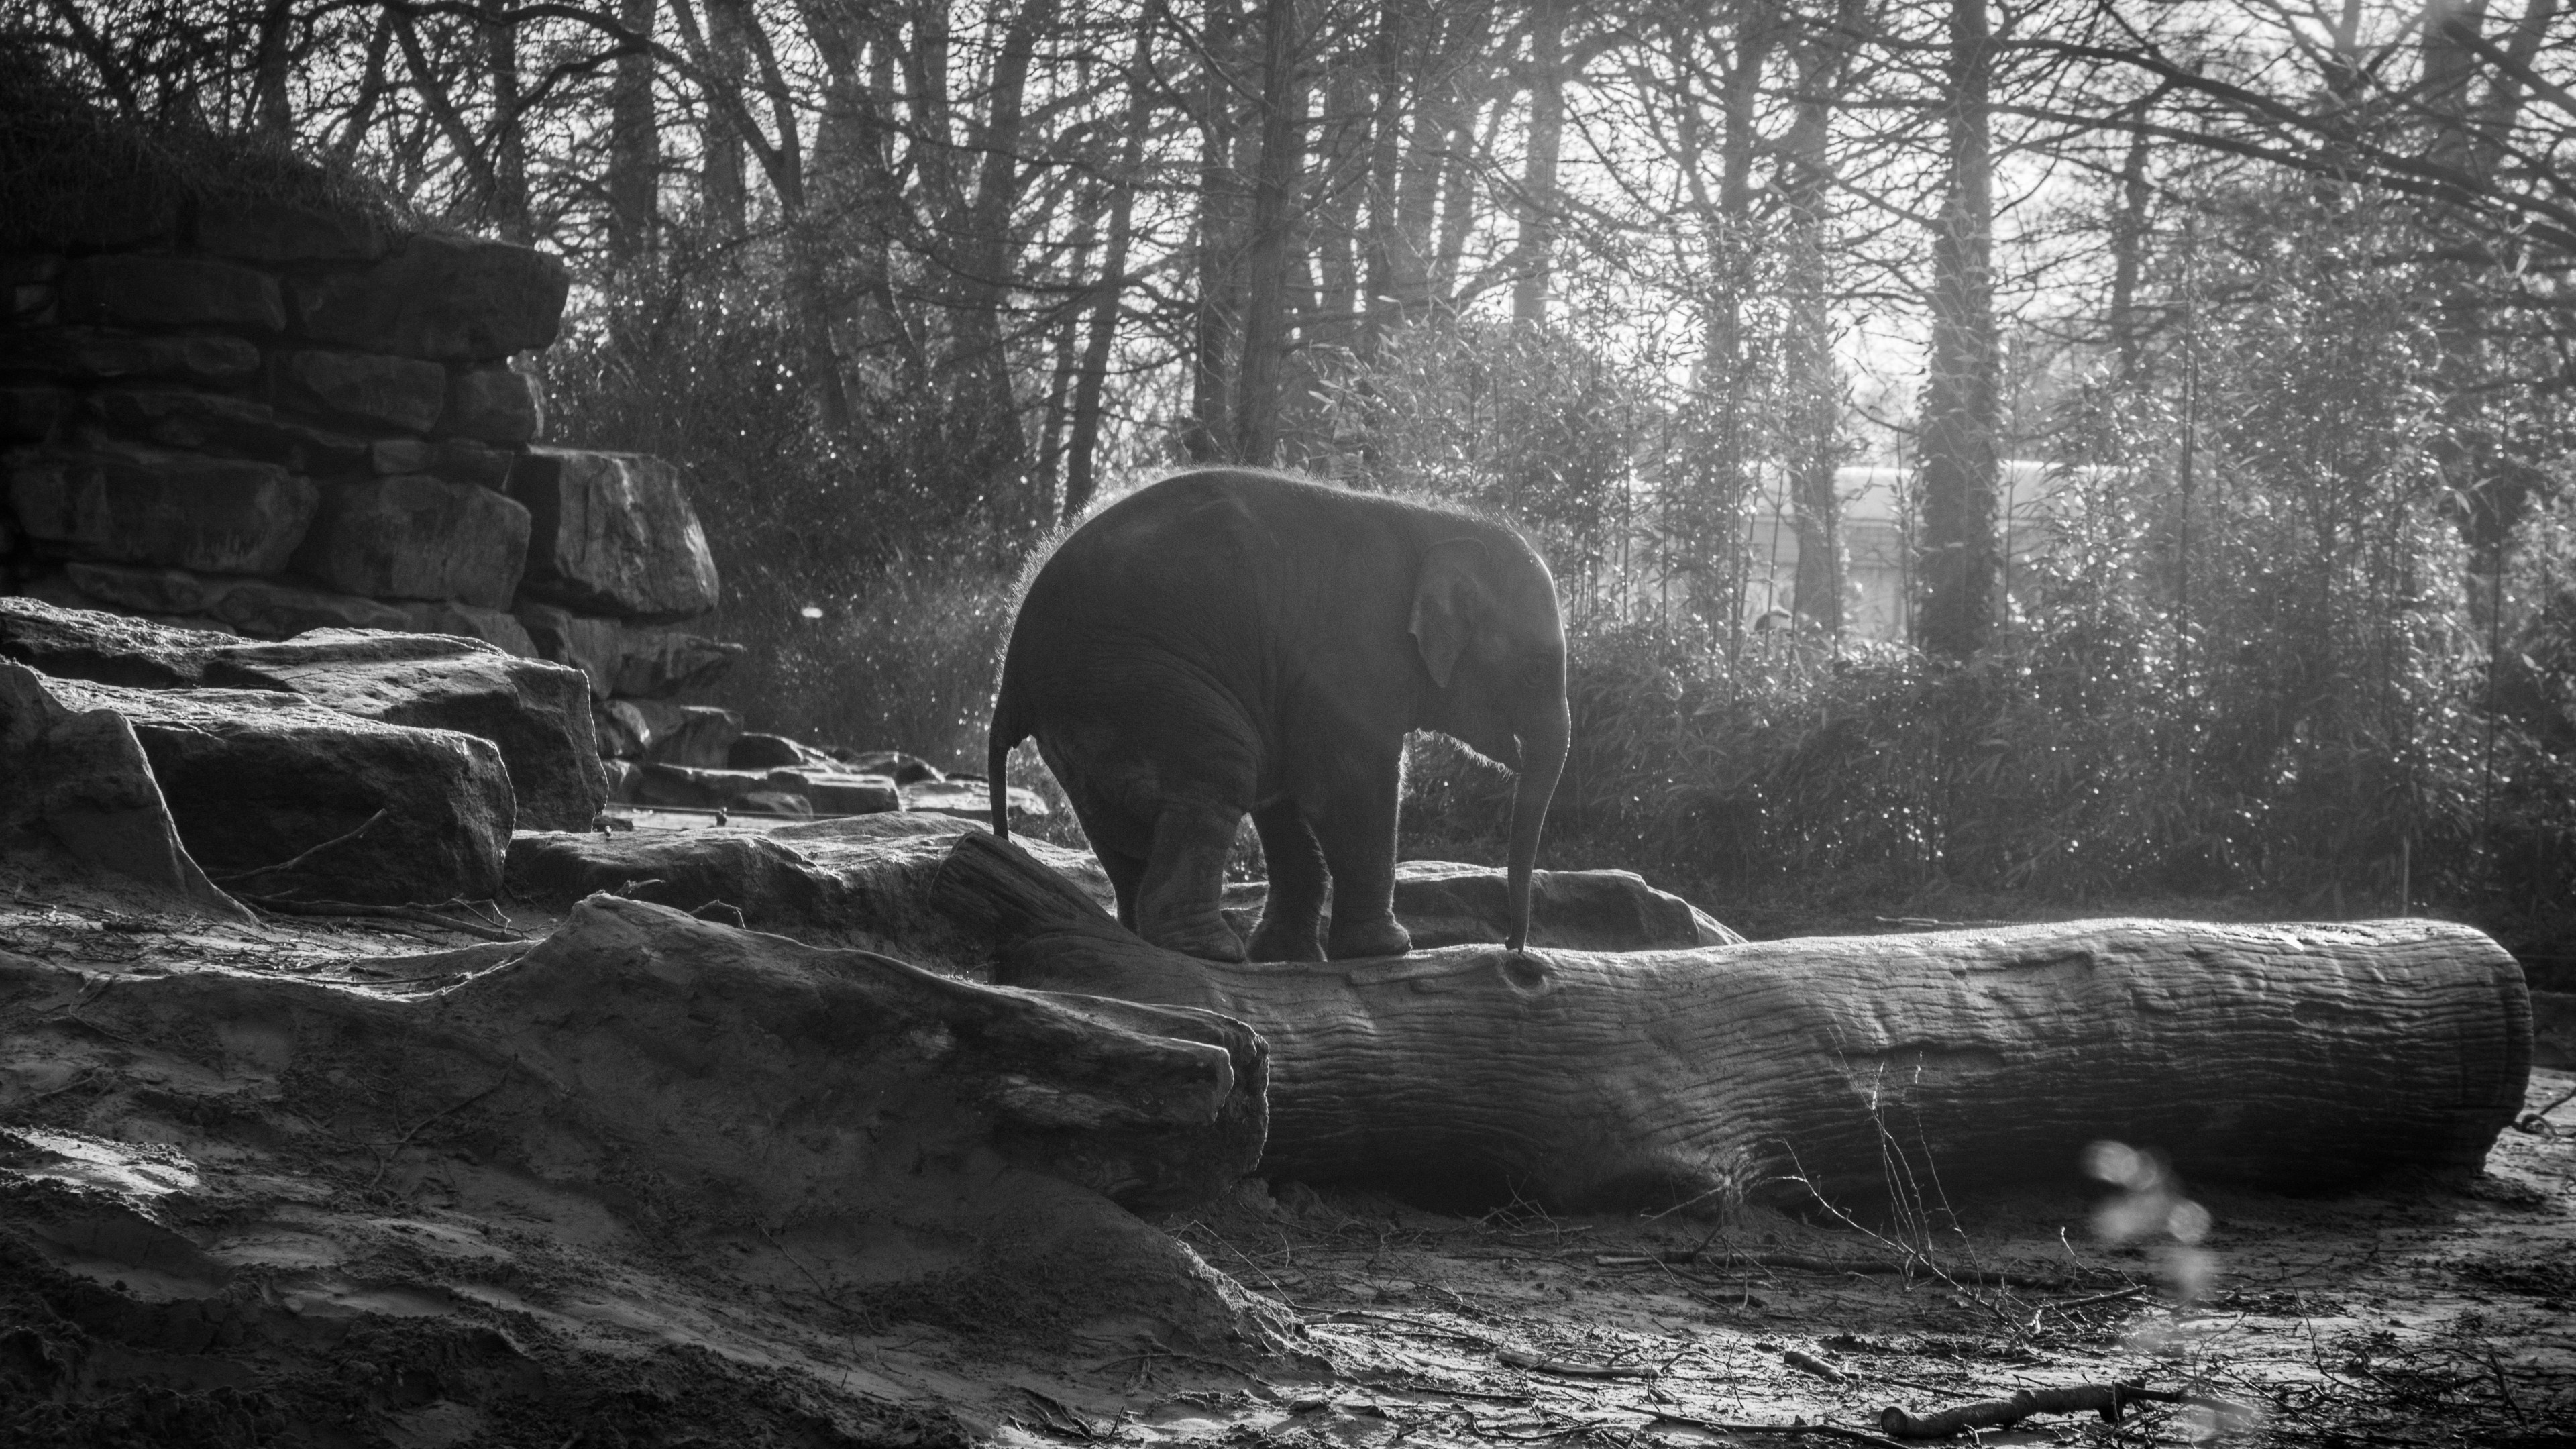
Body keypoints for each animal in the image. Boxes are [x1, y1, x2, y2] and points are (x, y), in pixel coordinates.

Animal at [986, 467, 1569, 963]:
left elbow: (1289, 797)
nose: (1514, 946)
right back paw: (1212, 951)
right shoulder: (1351, 652)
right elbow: (1348, 784)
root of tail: (1011, 674)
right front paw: (1388, 949)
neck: (1438, 524)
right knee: (1220, 774)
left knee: (1117, 828)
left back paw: (1144, 936)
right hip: (1135, 684)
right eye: (1536, 671)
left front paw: (1290, 954)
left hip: (1086, 719)